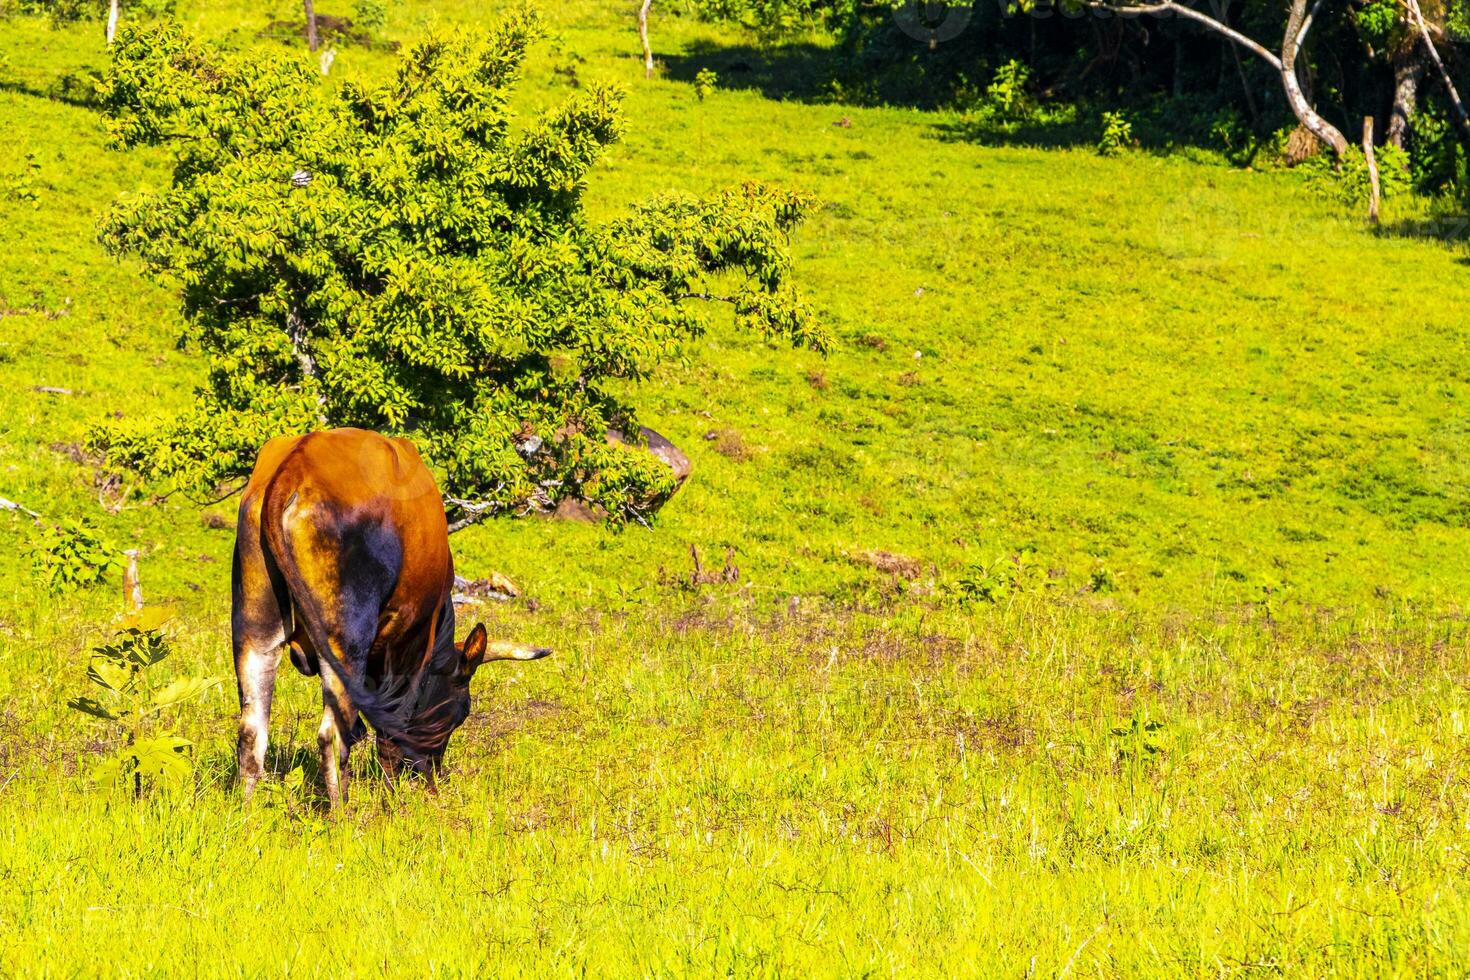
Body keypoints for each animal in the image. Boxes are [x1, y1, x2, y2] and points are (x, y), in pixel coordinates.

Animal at [232, 426, 549, 805]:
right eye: (462, 712)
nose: (431, 775)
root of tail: (295, 465)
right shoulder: (409, 642)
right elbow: (391, 726)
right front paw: (391, 795)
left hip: (255, 630)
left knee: (252, 731)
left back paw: (247, 810)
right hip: (346, 640)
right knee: (331, 735)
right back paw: (342, 812)